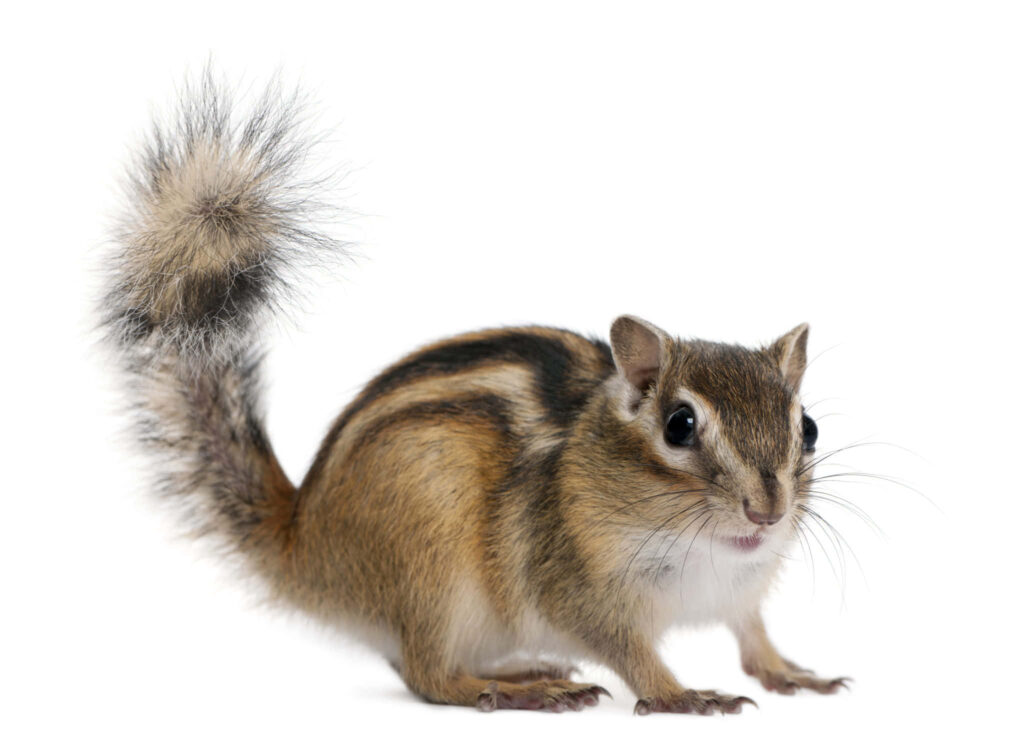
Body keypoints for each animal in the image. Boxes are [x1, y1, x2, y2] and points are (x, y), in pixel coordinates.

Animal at [100, 73, 849, 715]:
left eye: (807, 427)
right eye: (679, 426)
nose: (767, 511)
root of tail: (301, 545)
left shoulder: (743, 591)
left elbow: (752, 634)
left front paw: (792, 672)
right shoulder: (575, 586)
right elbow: (629, 652)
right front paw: (681, 694)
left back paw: (522, 667)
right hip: (432, 557)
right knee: (426, 673)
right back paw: (518, 689)